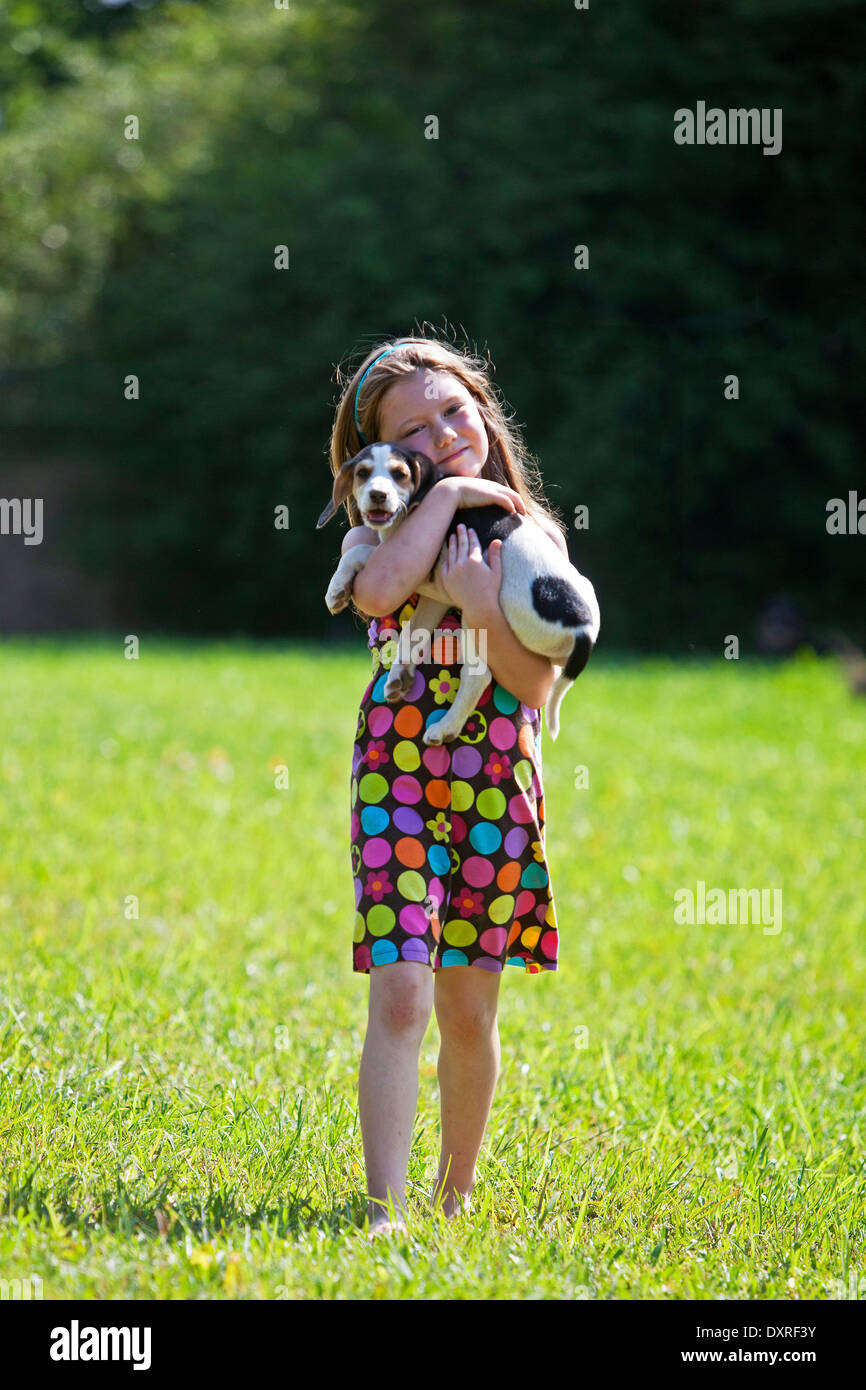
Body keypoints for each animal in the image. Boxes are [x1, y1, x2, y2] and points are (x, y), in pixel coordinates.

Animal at [318, 447, 603, 750]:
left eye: (400, 474)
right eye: (362, 473)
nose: (378, 495)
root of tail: (582, 626)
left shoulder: (421, 572)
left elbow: (359, 550)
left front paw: (336, 589)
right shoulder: (436, 597)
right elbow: (413, 632)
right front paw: (399, 674)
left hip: (476, 618)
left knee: (478, 675)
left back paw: (443, 728)